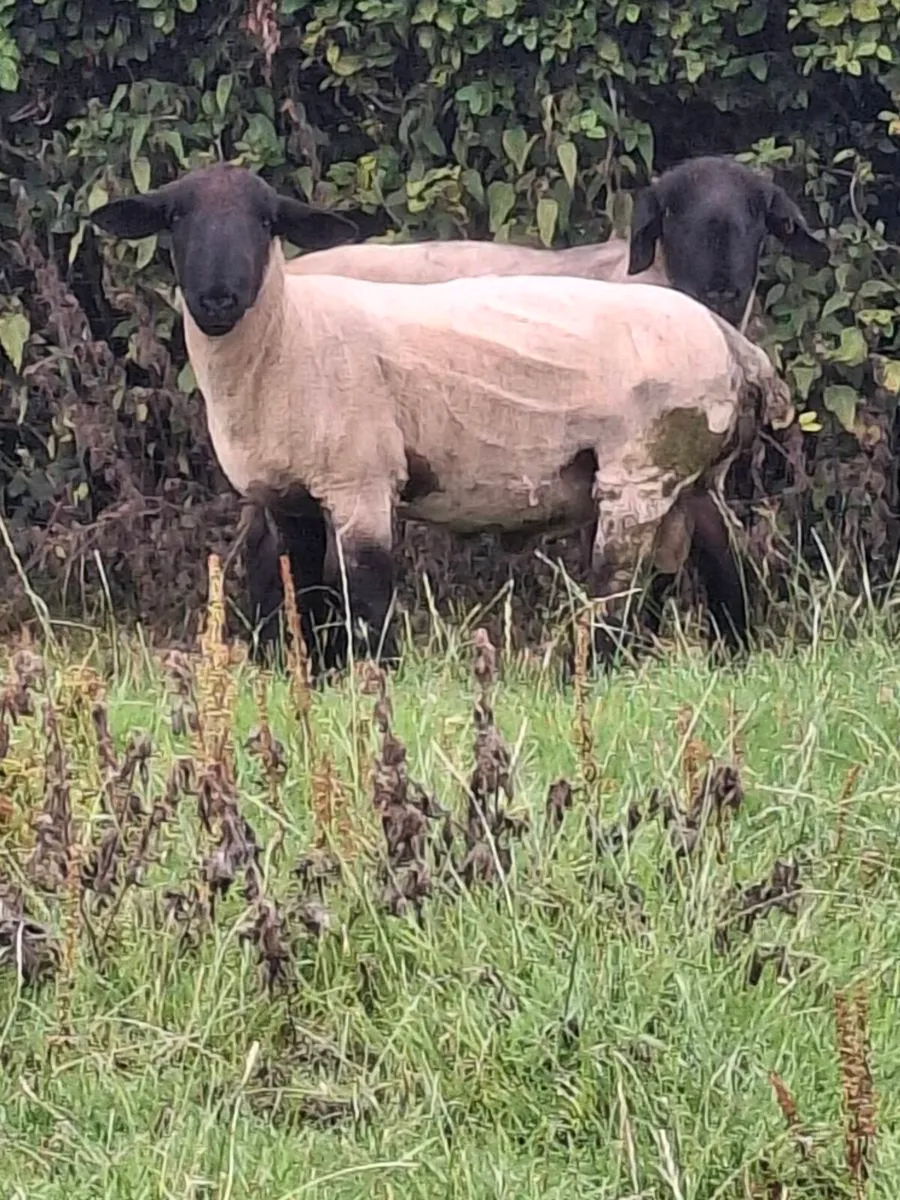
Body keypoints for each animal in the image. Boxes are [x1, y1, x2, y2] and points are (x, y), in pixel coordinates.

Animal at [90, 163, 796, 673]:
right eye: (175, 218)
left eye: (266, 222)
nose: (218, 298)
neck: (289, 336)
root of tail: (737, 346)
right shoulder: (287, 495)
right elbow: (302, 591)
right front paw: (304, 677)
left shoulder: (362, 482)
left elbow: (367, 593)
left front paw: (376, 681)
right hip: (690, 471)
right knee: (708, 552)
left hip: (640, 468)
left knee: (619, 586)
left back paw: (590, 670)